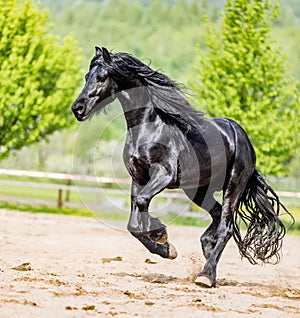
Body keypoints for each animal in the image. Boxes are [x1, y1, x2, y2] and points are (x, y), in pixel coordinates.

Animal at [72, 47, 292, 288]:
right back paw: (207, 251)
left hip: (233, 186)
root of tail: (242, 137)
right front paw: (166, 246)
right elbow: (133, 223)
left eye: (102, 77)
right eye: (86, 76)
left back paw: (206, 275)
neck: (148, 128)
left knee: (226, 227)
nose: (77, 108)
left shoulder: (164, 174)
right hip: (198, 190)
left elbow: (142, 203)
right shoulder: (138, 178)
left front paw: (160, 235)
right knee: (216, 215)